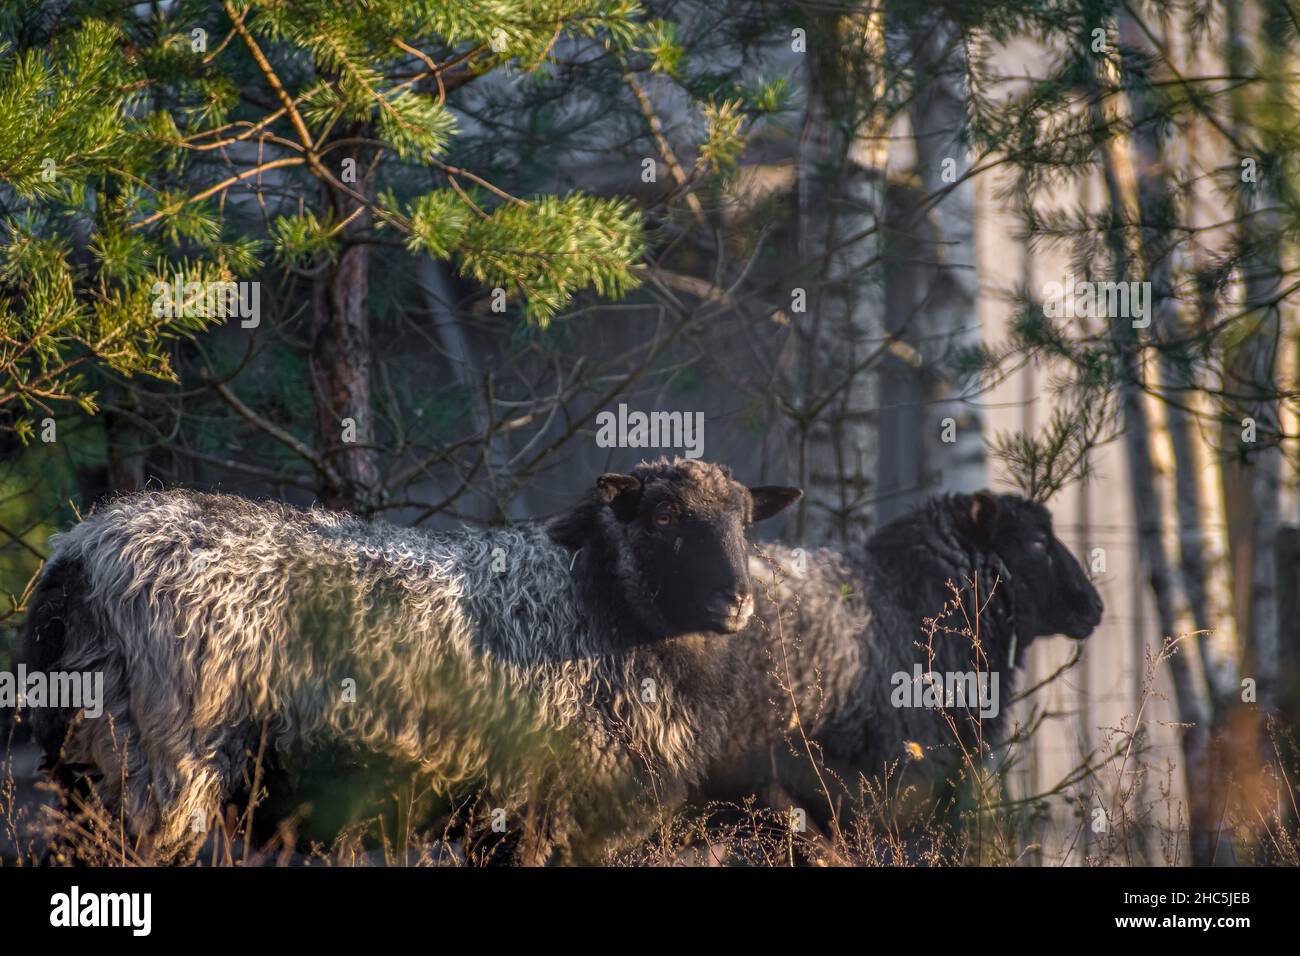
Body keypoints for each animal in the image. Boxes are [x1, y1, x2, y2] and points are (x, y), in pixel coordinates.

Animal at [20, 460, 800, 863]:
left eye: (745, 520)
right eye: (664, 515)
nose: (737, 599)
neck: (595, 601)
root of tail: (78, 556)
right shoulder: (549, 807)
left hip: (86, 766)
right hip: (161, 767)